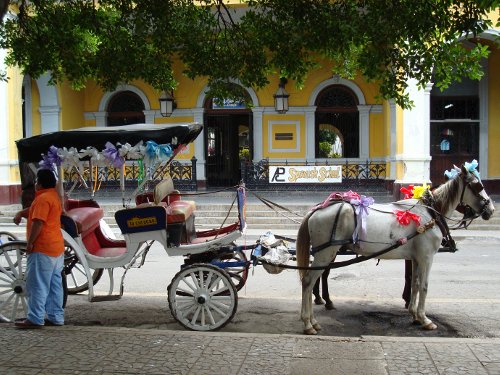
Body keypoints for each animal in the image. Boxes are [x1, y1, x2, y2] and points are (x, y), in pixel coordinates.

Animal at [294, 166, 494, 336]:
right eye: (478, 186)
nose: (491, 210)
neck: (430, 213)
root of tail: (316, 210)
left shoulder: (416, 258)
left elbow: (414, 284)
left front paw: (414, 314)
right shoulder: (427, 257)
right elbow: (424, 286)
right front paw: (425, 319)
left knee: (312, 280)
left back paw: (314, 320)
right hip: (326, 253)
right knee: (308, 281)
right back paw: (308, 322)